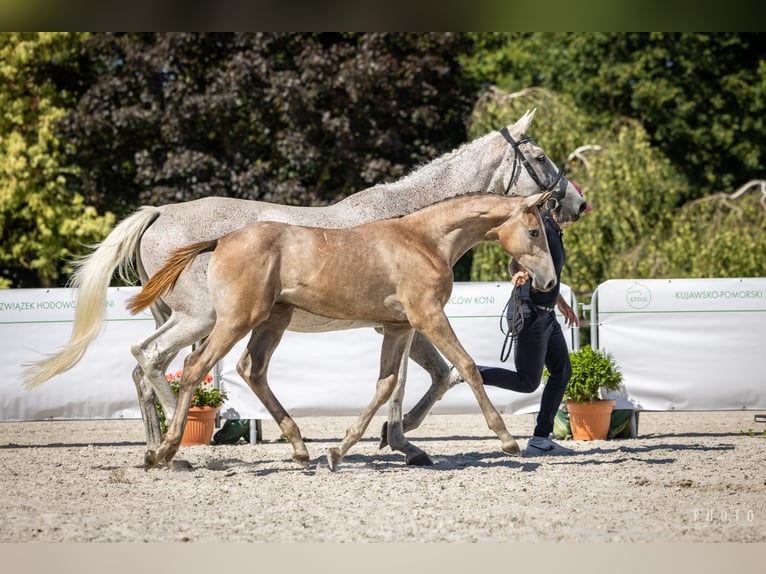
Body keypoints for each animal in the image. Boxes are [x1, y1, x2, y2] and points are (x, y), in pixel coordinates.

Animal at [129, 194, 556, 472]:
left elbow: (386, 385)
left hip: (270, 321)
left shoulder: (398, 328)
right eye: (535, 231)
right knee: (192, 365)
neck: (424, 240)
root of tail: (221, 240)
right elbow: (465, 367)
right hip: (233, 320)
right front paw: (507, 440)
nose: (549, 282)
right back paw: (165, 452)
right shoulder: (428, 317)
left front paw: (340, 451)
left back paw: (301, 450)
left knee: (251, 370)